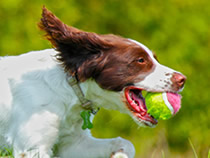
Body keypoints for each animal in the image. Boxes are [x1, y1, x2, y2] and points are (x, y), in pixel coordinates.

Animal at [0, 7, 186, 158]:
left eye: (155, 58)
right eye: (140, 60)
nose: (182, 79)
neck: (69, 89)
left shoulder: (73, 143)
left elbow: (125, 143)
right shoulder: (32, 148)